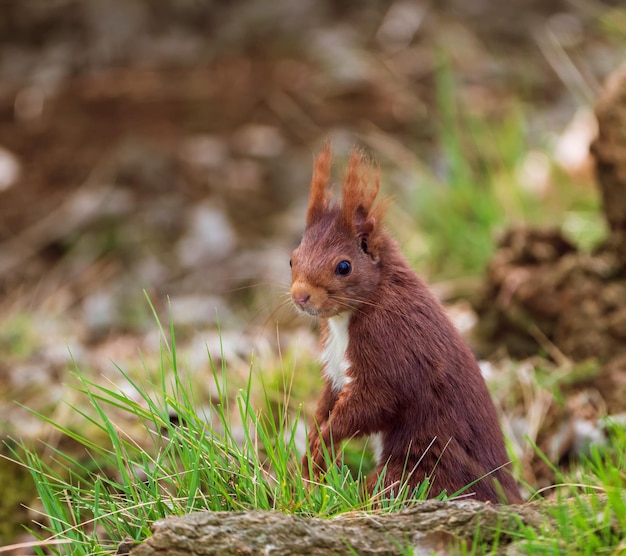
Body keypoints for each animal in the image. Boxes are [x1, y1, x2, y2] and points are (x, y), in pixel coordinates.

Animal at [290, 143, 520, 504]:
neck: (346, 320)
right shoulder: (335, 366)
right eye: (292, 259)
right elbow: (328, 399)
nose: (300, 296)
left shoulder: (391, 346)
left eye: (344, 266)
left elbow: (375, 403)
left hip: (422, 464)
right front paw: (314, 440)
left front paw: (325, 441)